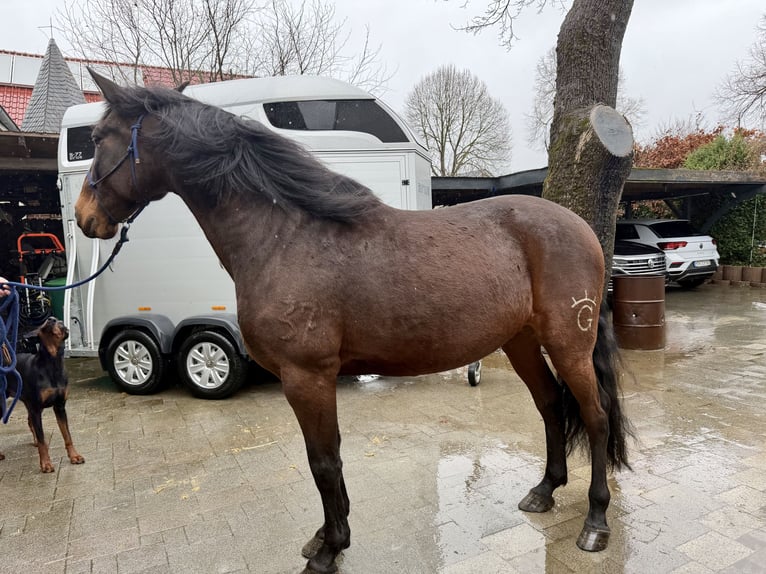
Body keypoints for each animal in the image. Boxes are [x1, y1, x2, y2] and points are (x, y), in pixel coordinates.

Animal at [75, 69, 632, 573]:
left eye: (98, 140)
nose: (84, 217)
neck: (285, 236)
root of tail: (580, 228)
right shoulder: (313, 379)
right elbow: (329, 458)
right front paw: (327, 536)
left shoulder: (307, 376)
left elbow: (323, 461)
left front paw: (329, 549)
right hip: (520, 342)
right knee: (550, 405)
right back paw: (544, 491)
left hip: (569, 344)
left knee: (597, 417)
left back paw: (595, 524)